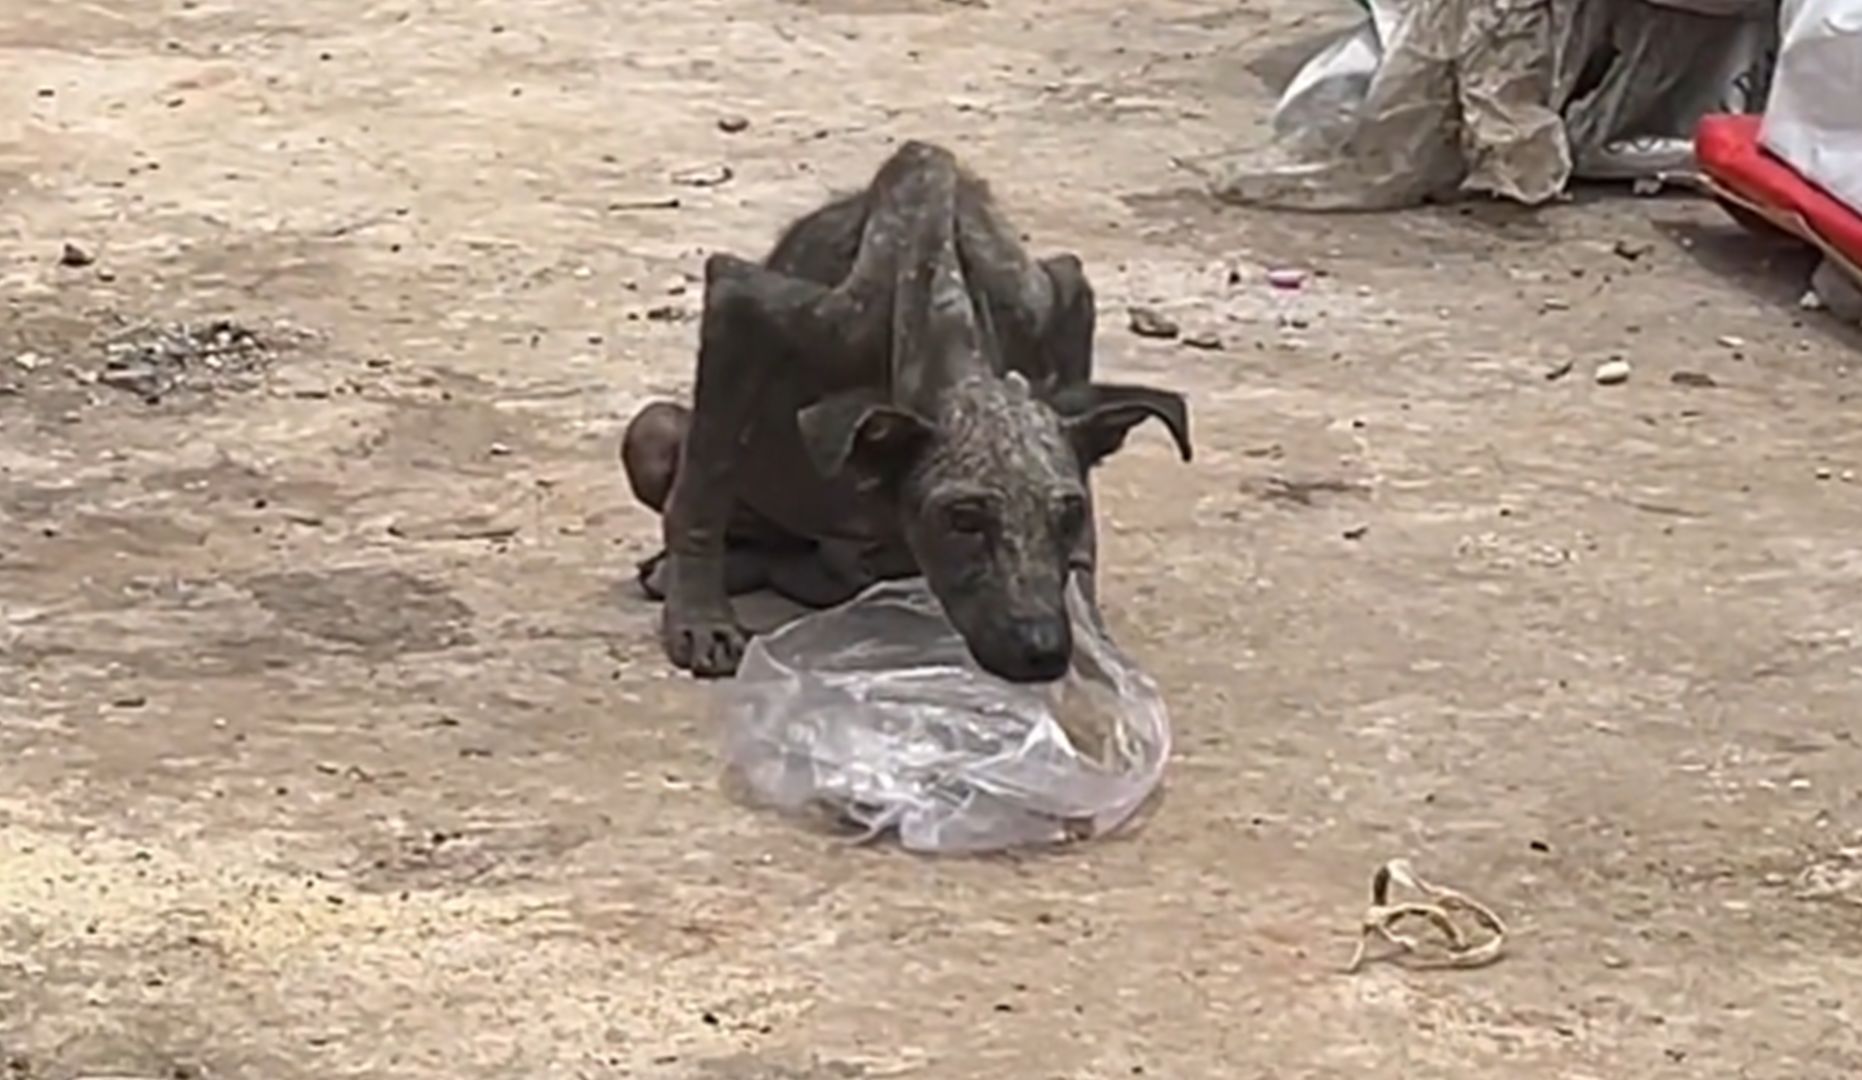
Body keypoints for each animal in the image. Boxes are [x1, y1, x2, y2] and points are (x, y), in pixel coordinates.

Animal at [618, 139, 1184, 677]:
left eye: (1069, 513)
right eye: (962, 519)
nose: (1041, 650)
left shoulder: (1059, 295)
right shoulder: (748, 301)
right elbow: (703, 489)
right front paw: (699, 620)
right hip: (653, 431)